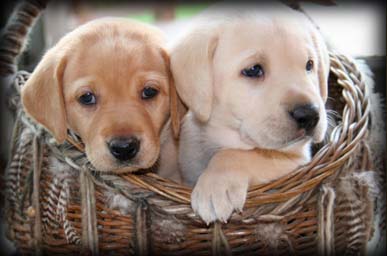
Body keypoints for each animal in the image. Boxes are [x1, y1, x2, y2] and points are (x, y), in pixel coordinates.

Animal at [164, 4, 330, 224]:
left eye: (309, 65)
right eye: (253, 70)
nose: (309, 115)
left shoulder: (296, 160)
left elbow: (238, 154)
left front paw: (215, 186)